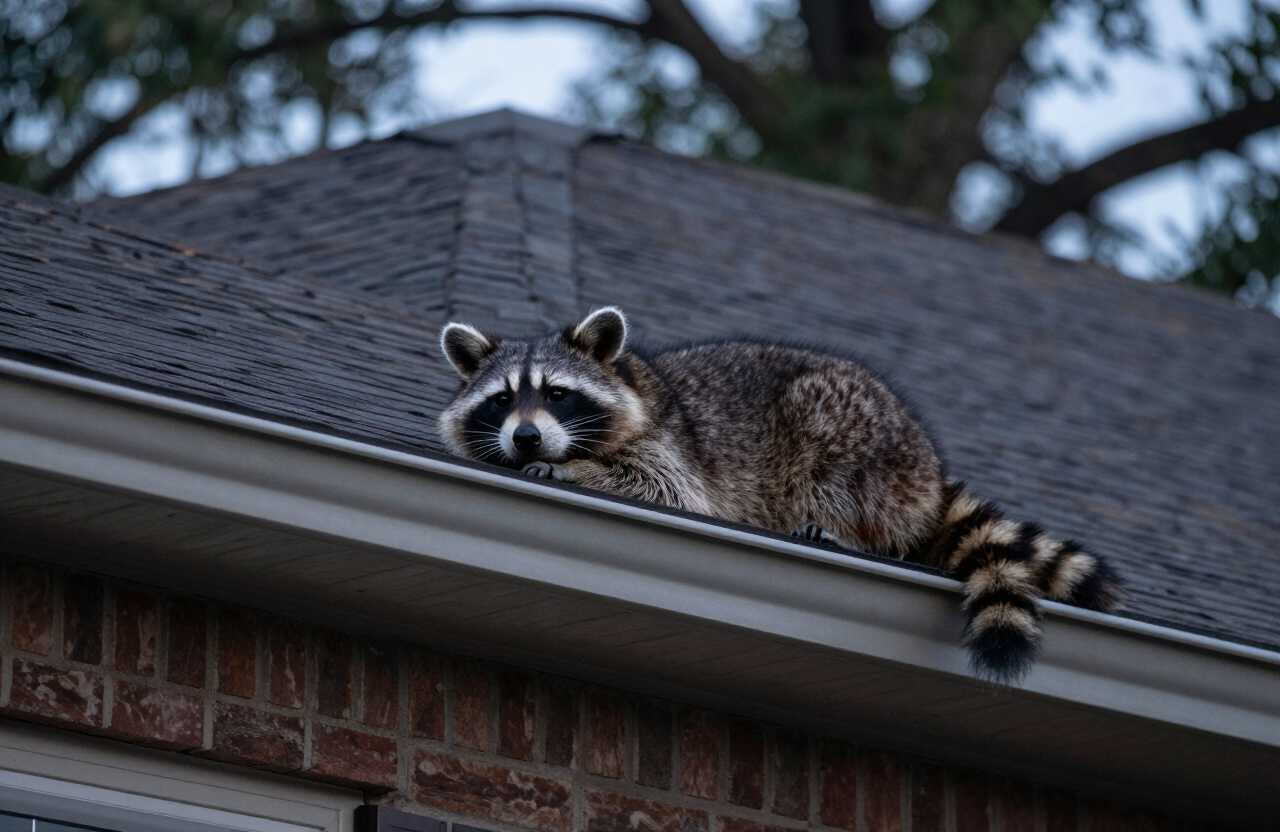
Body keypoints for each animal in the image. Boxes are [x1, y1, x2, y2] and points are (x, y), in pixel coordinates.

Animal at [438, 307, 1122, 684]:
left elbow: (667, 488)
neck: (630, 378)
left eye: (556, 394)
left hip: (859, 438)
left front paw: (572, 471)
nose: (526, 438)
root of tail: (928, 463)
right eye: (502, 400)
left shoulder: (670, 445)